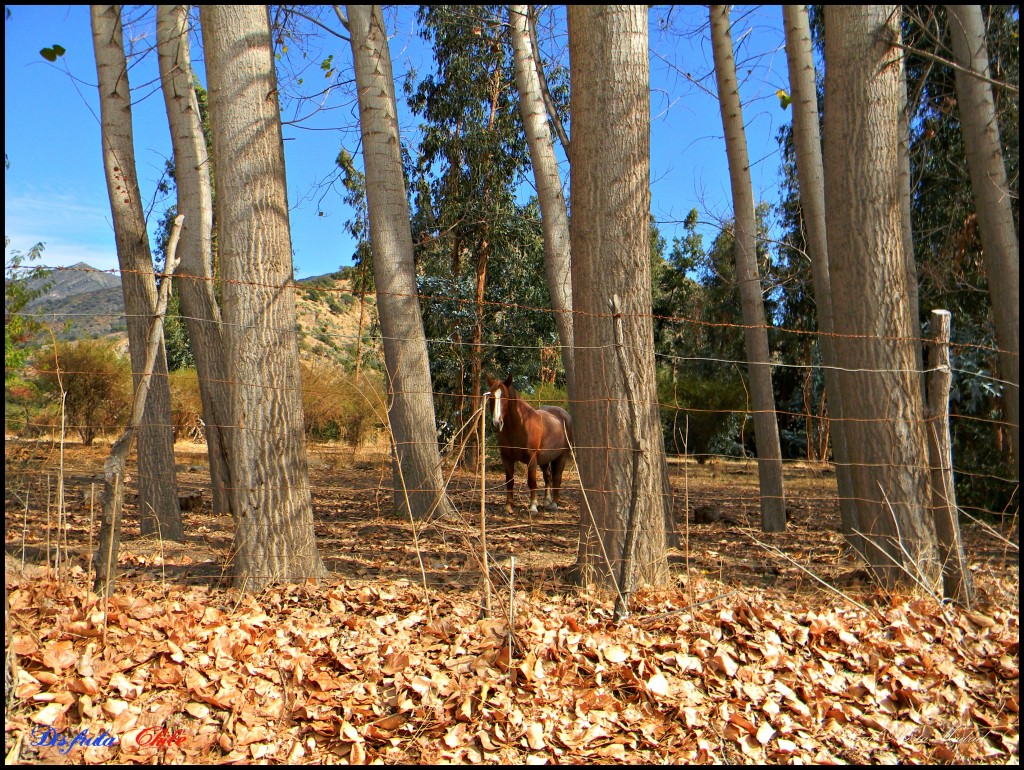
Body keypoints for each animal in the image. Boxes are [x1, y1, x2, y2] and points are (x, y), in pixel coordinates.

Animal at [487, 372, 577, 511]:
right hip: (545, 459)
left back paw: (554, 503)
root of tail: (564, 415)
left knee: (557, 478)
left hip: (561, 456)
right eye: (491, 397)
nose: (496, 423)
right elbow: (509, 481)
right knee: (548, 476)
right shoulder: (506, 458)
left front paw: (533, 506)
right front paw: (508, 506)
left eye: (505, 397)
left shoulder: (532, 458)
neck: (519, 425)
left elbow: (532, 481)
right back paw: (546, 500)